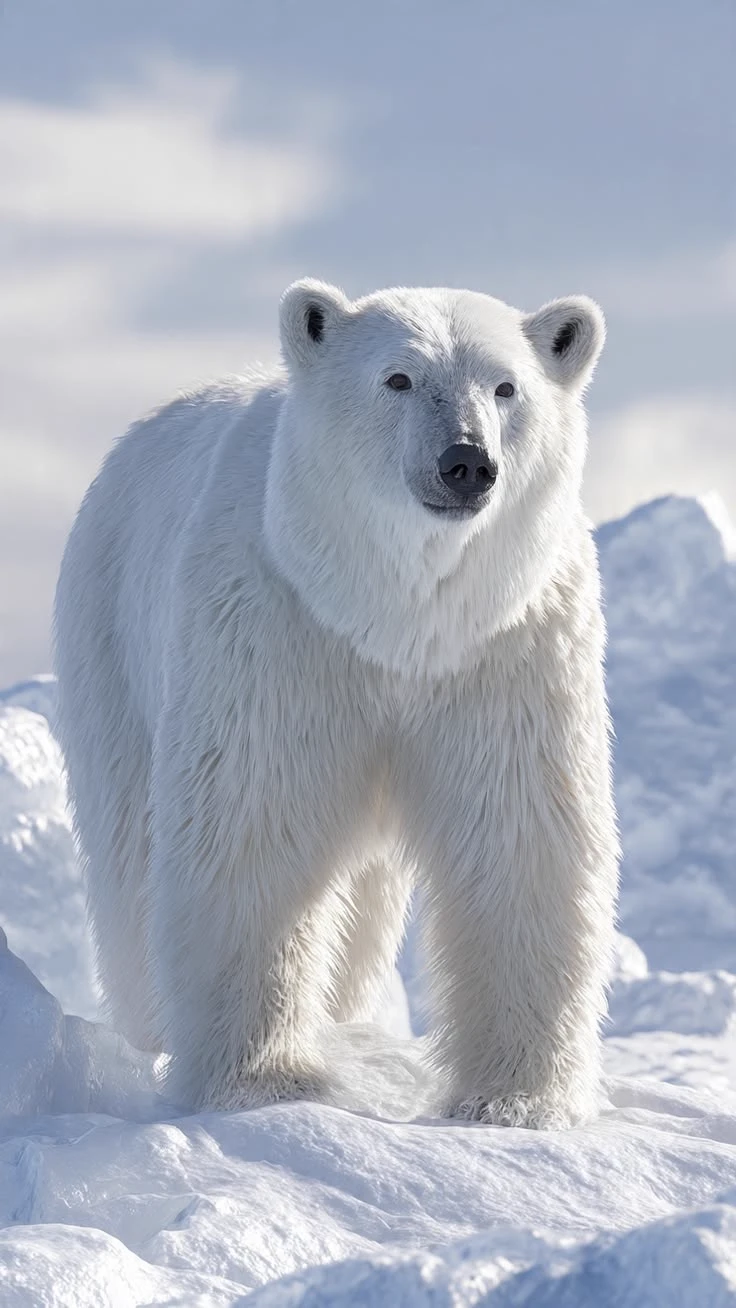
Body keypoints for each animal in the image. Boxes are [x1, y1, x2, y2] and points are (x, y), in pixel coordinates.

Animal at [53, 279, 620, 1128]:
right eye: (398, 378)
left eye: (506, 386)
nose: (466, 463)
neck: (391, 618)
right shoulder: (278, 625)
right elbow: (252, 822)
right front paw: (261, 1079)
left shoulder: (503, 648)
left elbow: (519, 833)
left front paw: (515, 1099)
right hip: (112, 637)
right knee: (130, 853)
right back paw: (151, 1030)